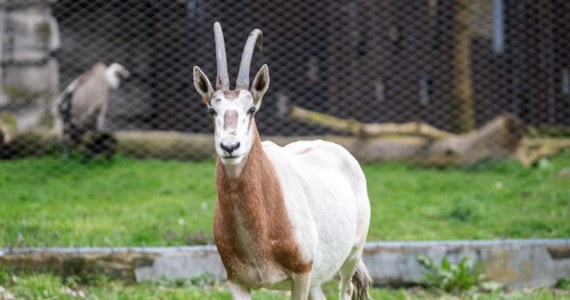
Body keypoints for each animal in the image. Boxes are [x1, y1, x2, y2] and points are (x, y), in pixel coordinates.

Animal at [193, 22, 370, 300]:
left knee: (347, 288)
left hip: (351, 256)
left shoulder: (301, 274)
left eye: (251, 109)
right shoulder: (236, 281)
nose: (230, 147)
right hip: (317, 277)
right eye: (212, 110)